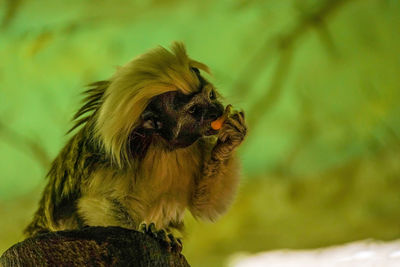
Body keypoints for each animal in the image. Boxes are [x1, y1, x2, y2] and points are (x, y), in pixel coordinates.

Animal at [25, 42, 247, 249]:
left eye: (210, 97)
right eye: (194, 110)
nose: (216, 111)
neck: (161, 143)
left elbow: (206, 204)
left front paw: (227, 143)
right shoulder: (111, 160)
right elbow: (92, 203)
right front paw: (150, 231)